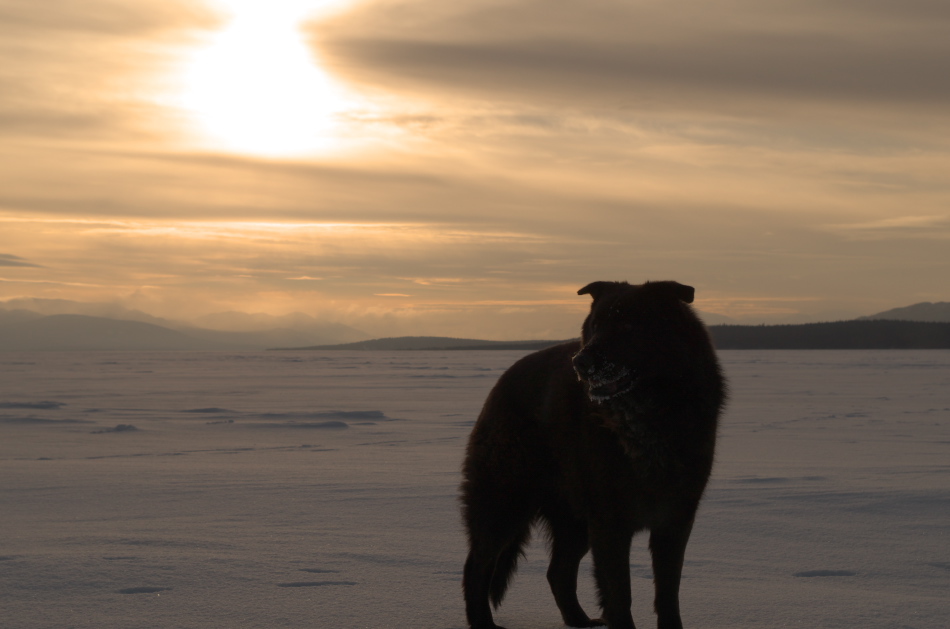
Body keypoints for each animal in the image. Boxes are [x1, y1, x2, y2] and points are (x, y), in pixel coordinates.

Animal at [462, 280, 728, 628]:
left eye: (629, 325)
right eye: (596, 326)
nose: (581, 362)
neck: (647, 417)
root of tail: (503, 381)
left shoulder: (675, 520)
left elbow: (668, 594)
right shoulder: (611, 524)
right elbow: (620, 595)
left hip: (574, 521)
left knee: (557, 572)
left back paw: (579, 621)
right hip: (506, 502)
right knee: (476, 565)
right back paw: (484, 623)